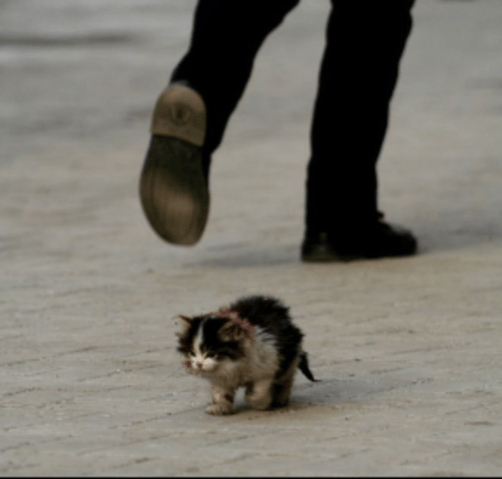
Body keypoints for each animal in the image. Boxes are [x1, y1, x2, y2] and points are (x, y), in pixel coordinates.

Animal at [176, 295, 318, 415]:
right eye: (192, 353)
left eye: (211, 353)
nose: (199, 364)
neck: (232, 363)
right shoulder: (220, 376)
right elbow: (220, 390)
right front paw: (221, 406)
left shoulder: (268, 363)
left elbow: (259, 390)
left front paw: (259, 402)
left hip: (288, 356)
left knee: (286, 377)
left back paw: (281, 398)